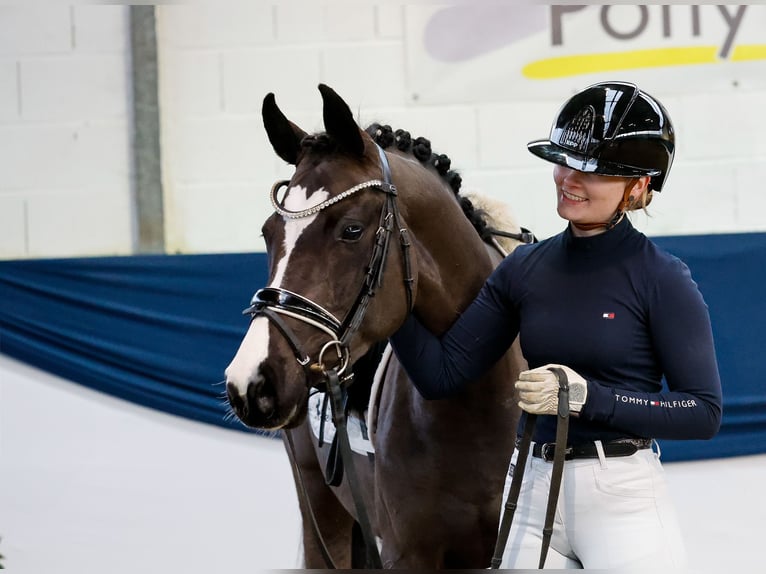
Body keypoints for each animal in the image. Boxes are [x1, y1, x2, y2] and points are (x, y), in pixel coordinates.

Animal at [224, 85, 528, 572]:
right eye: (269, 234)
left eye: (351, 230)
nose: (250, 381)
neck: (477, 400)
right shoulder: (407, 554)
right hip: (321, 513)